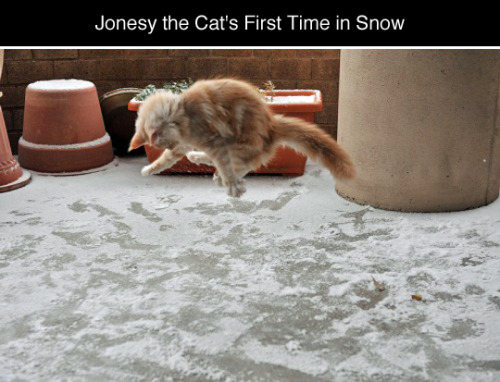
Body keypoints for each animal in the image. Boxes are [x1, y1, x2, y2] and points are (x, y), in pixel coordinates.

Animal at [129, 77, 356, 197]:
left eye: (163, 141)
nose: (170, 144)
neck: (181, 112)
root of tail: (272, 125)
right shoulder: (186, 145)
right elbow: (165, 161)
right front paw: (149, 169)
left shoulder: (212, 141)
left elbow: (224, 164)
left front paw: (231, 184)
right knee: (239, 164)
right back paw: (199, 160)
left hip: (239, 144)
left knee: (242, 164)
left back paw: (224, 180)